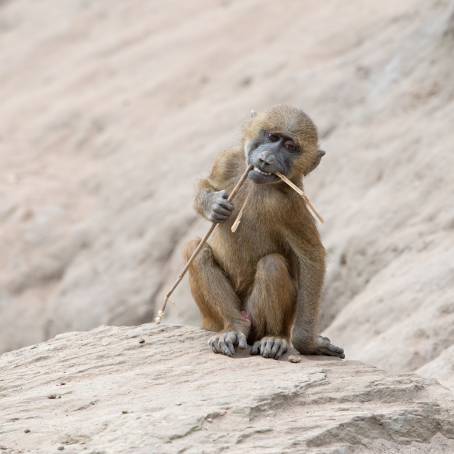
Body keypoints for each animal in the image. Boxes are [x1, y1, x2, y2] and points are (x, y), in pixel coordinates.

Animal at [183, 104, 342, 360]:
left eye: (290, 147)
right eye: (272, 137)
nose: (266, 159)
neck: (256, 184)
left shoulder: (291, 205)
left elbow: (311, 258)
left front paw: (307, 343)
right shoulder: (227, 160)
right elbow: (206, 184)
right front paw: (213, 205)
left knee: (272, 264)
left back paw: (272, 339)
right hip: (212, 318)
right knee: (196, 250)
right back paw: (233, 328)